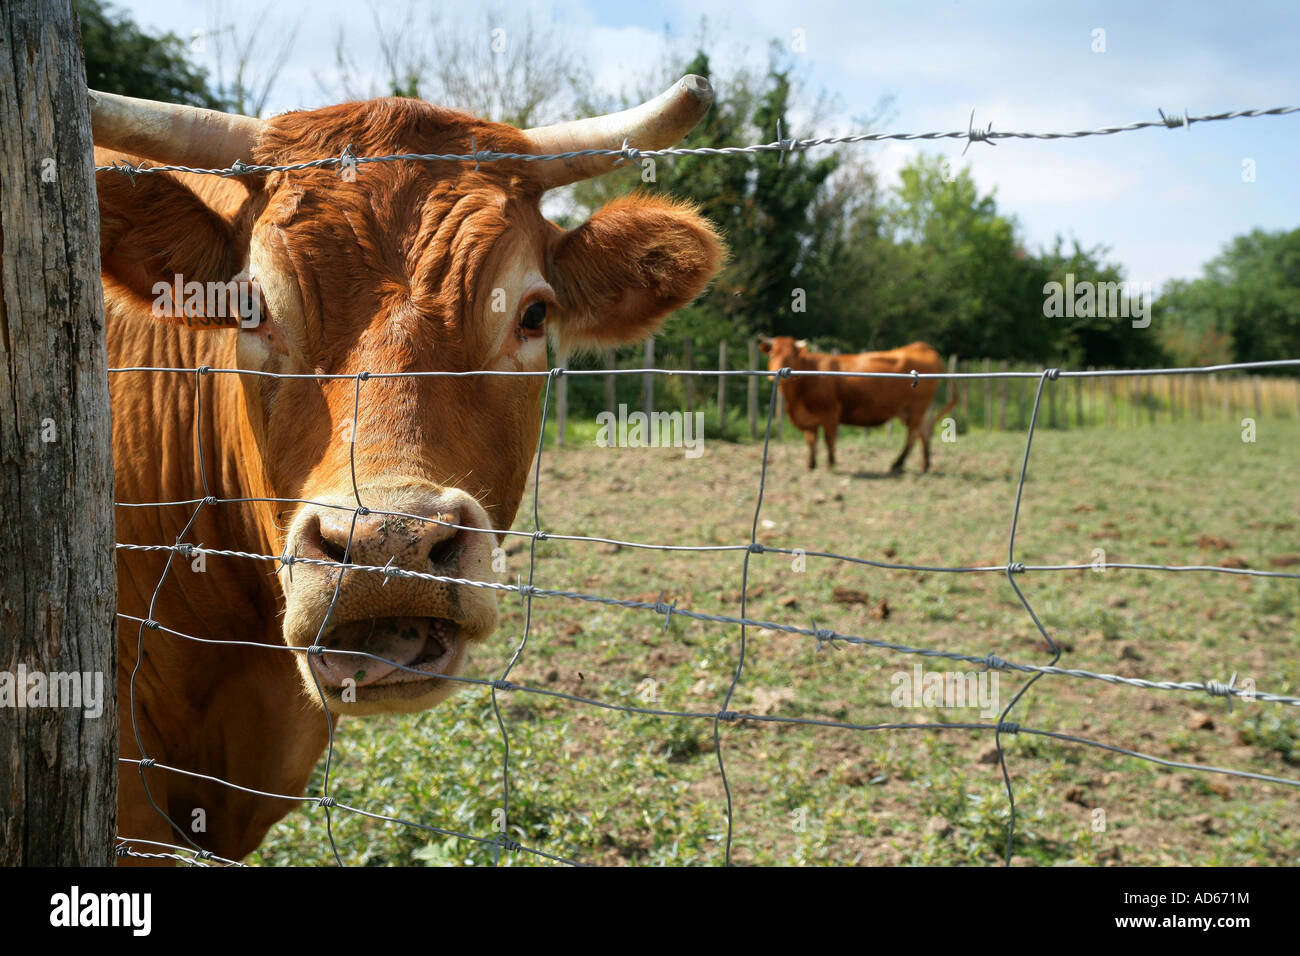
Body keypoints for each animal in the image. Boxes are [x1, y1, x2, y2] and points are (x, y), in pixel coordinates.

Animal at [757, 336, 957, 472]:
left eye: (791, 356)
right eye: (772, 354)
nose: (773, 376)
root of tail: (921, 346)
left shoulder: (830, 412)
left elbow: (829, 439)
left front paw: (830, 464)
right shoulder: (809, 418)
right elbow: (811, 440)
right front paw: (811, 464)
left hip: (916, 407)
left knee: (913, 434)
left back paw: (897, 463)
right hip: (910, 410)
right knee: (923, 432)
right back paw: (924, 464)